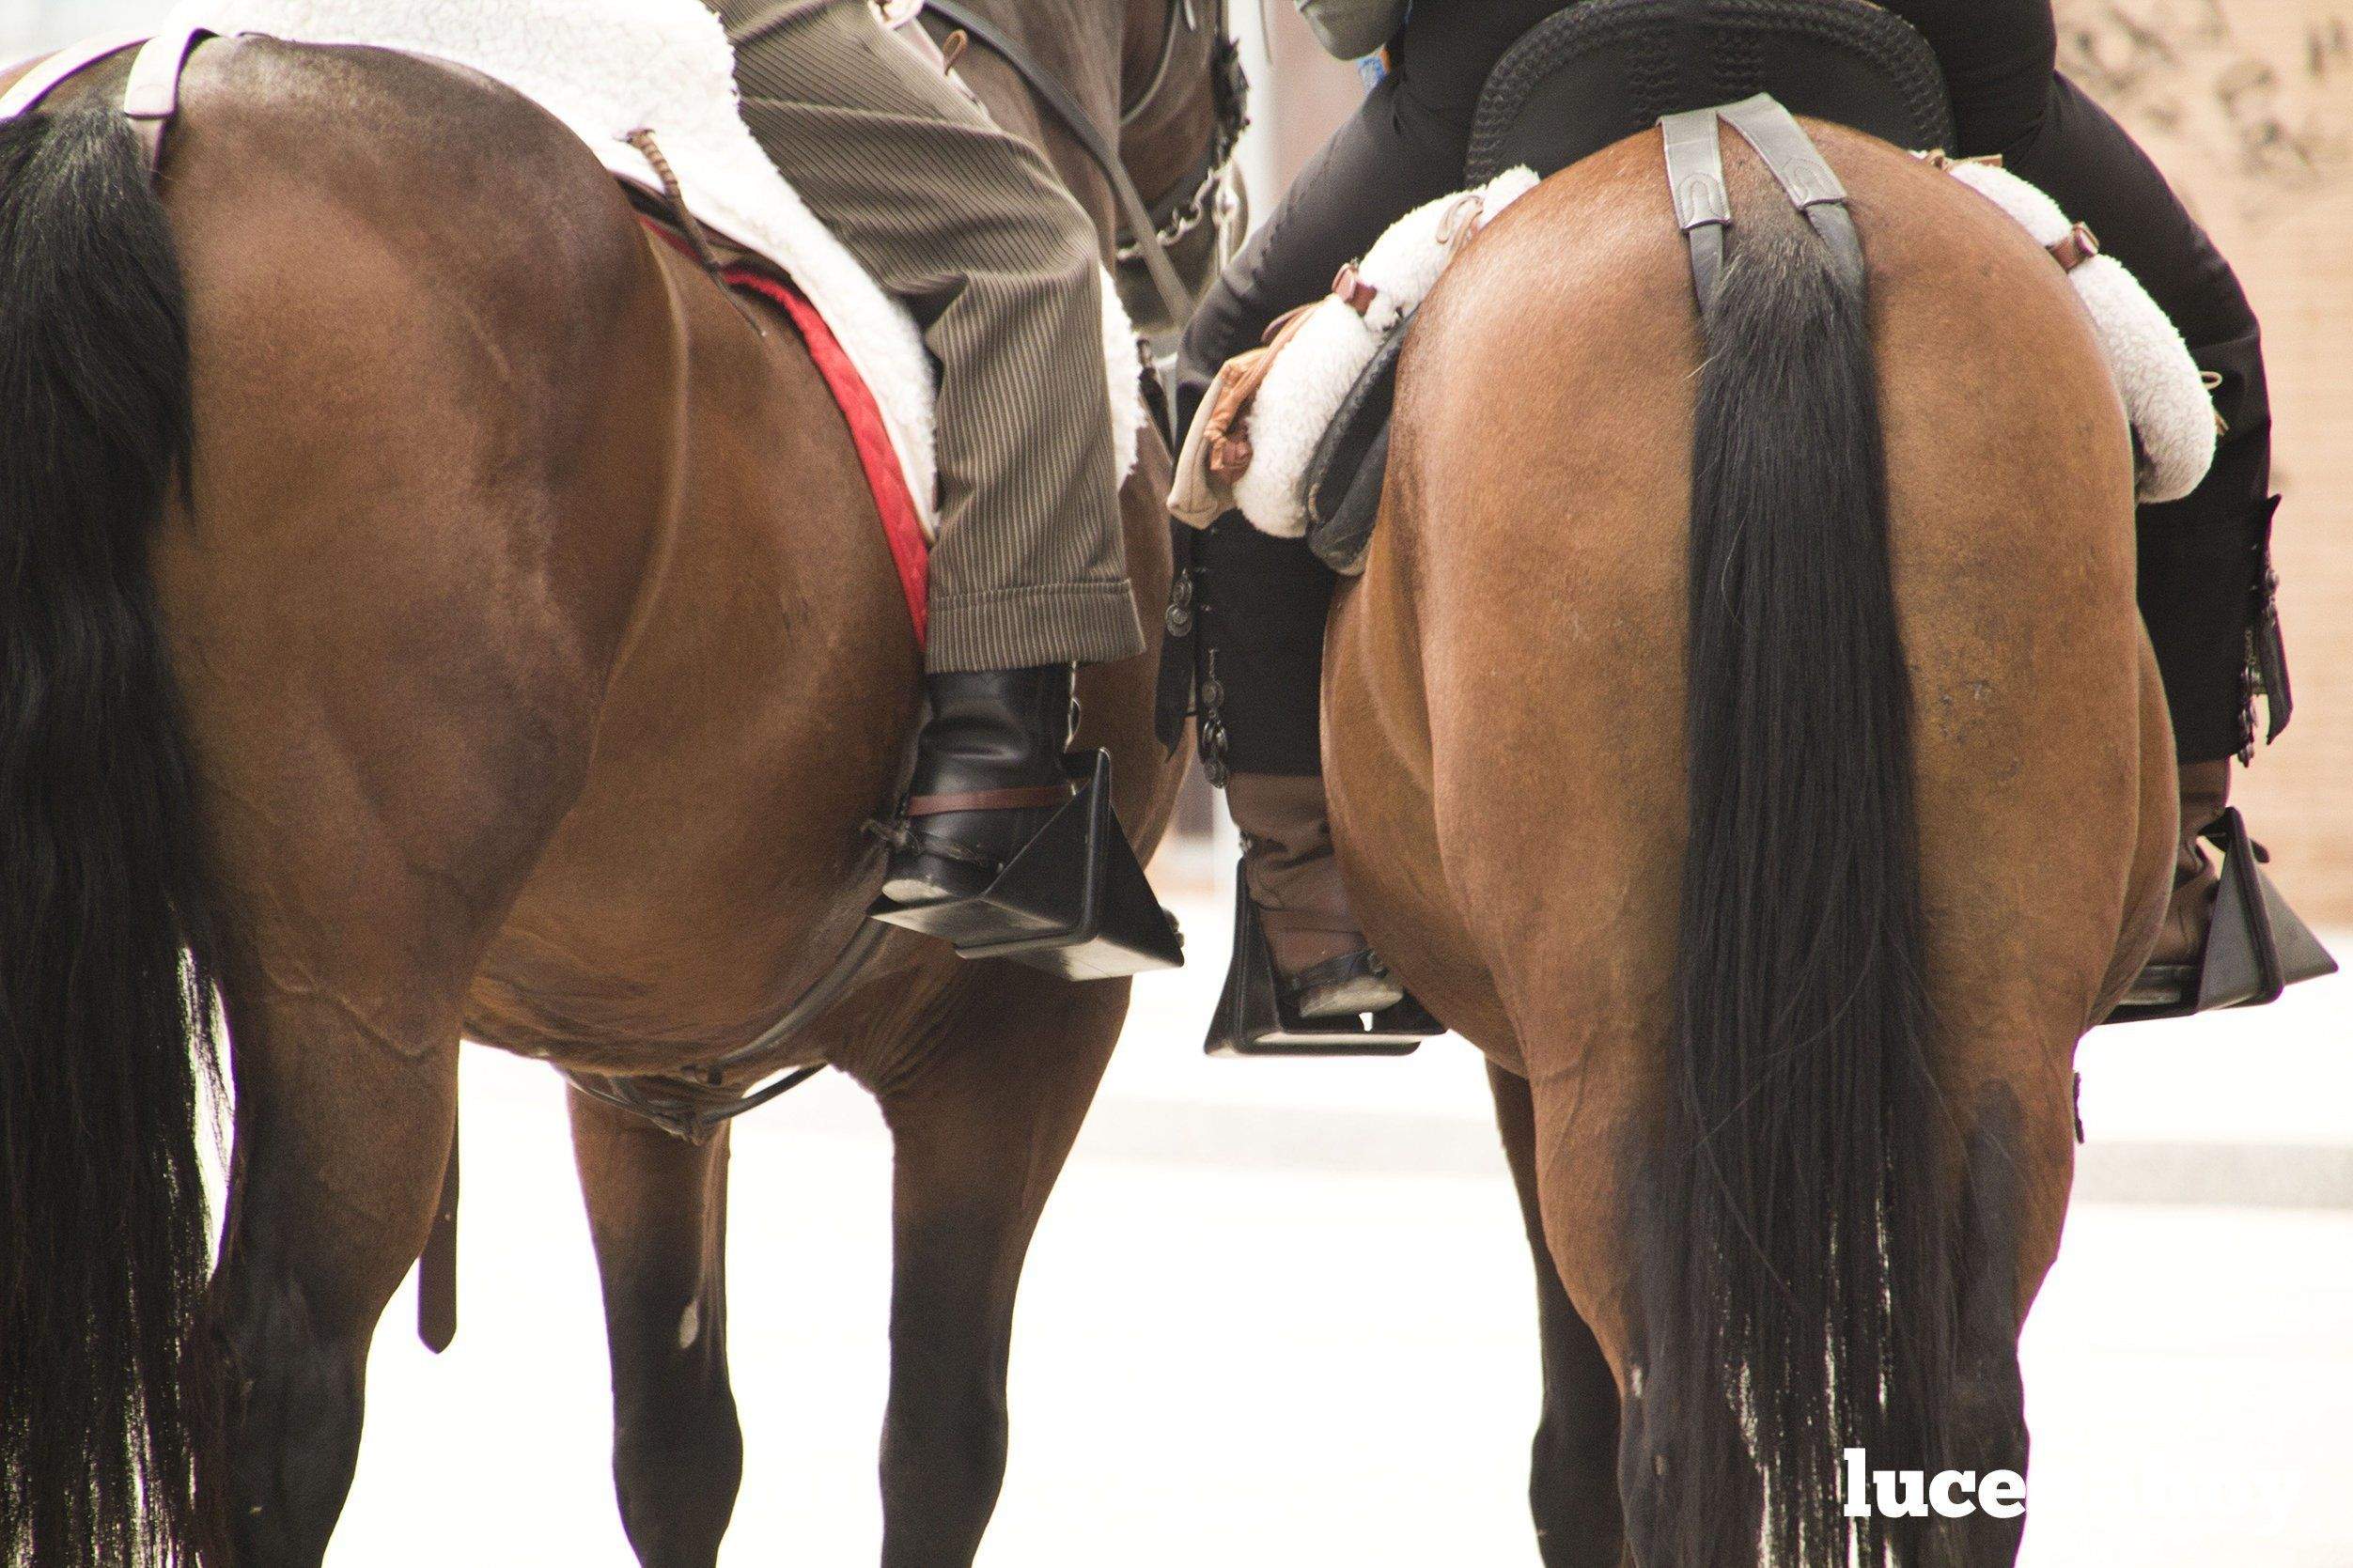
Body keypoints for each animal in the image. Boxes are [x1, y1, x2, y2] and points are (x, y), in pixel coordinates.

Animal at [0, 3, 1214, 1568]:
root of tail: (148, 104)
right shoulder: (1022, 1035)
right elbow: (943, 1443)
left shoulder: (644, 1057)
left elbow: (678, 1446)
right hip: (358, 1001)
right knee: (282, 1380)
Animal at [1327, 119, 2164, 1560]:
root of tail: (1760, 205)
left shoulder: (1527, 1064)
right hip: (1996, 1019)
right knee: (1966, 1420)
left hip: (1611, 1058)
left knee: (1674, 1439)